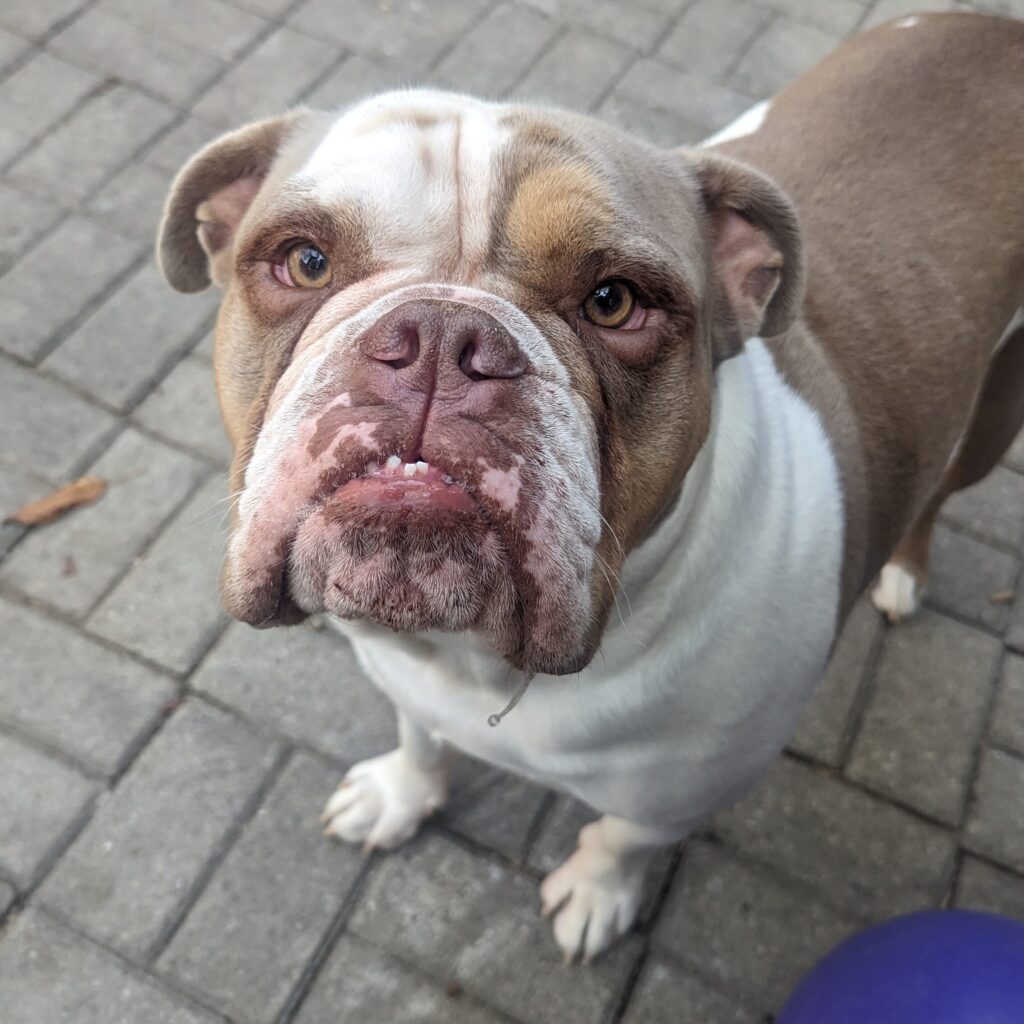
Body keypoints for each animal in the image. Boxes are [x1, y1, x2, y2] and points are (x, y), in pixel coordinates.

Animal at [157, 12, 1024, 962]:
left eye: (615, 301)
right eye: (304, 261)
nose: (442, 336)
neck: (473, 663)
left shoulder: (681, 793)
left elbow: (620, 836)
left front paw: (597, 892)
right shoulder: (409, 683)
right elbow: (419, 737)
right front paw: (400, 793)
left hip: (991, 419)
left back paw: (903, 572)